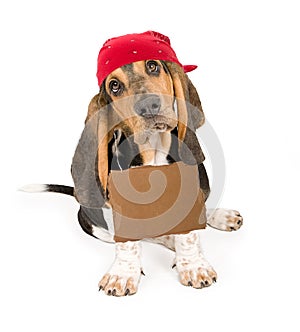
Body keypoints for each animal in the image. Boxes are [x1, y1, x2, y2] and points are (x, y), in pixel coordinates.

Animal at [23, 31, 244, 296]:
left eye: (153, 66)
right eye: (114, 85)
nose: (149, 106)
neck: (153, 150)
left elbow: (188, 234)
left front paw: (193, 266)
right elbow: (129, 243)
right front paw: (122, 274)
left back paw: (218, 218)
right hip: (95, 223)